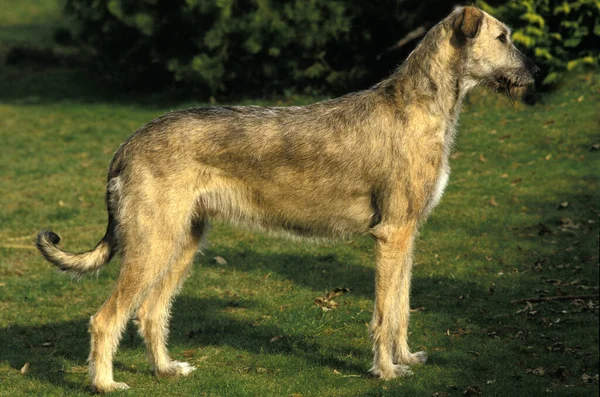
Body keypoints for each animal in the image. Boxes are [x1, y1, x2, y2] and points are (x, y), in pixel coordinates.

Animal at [35, 5, 536, 390]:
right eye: (503, 37)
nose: (535, 72)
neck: (421, 105)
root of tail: (128, 143)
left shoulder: (407, 234)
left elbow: (402, 307)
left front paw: (406, 359)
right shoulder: (392, 234)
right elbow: (384, 313)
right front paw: (386, 371)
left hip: (182, 243)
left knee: (150, 312)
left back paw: (166, 369)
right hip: (151, 244)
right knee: (107, 318)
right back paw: (105, 383)